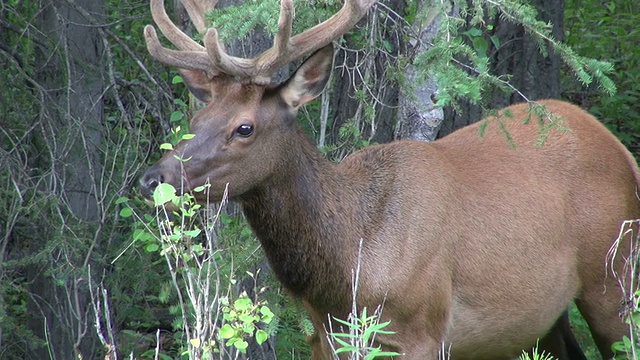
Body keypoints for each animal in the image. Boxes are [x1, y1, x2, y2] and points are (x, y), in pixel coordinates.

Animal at [139, 0, 636, 358]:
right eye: (197, 117)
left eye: (244, 127)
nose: (153, 179)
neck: (349, 265)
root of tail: (622, 151)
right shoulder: (325, 337)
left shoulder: (423, 330)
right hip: (540, 318)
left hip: (614, 274)